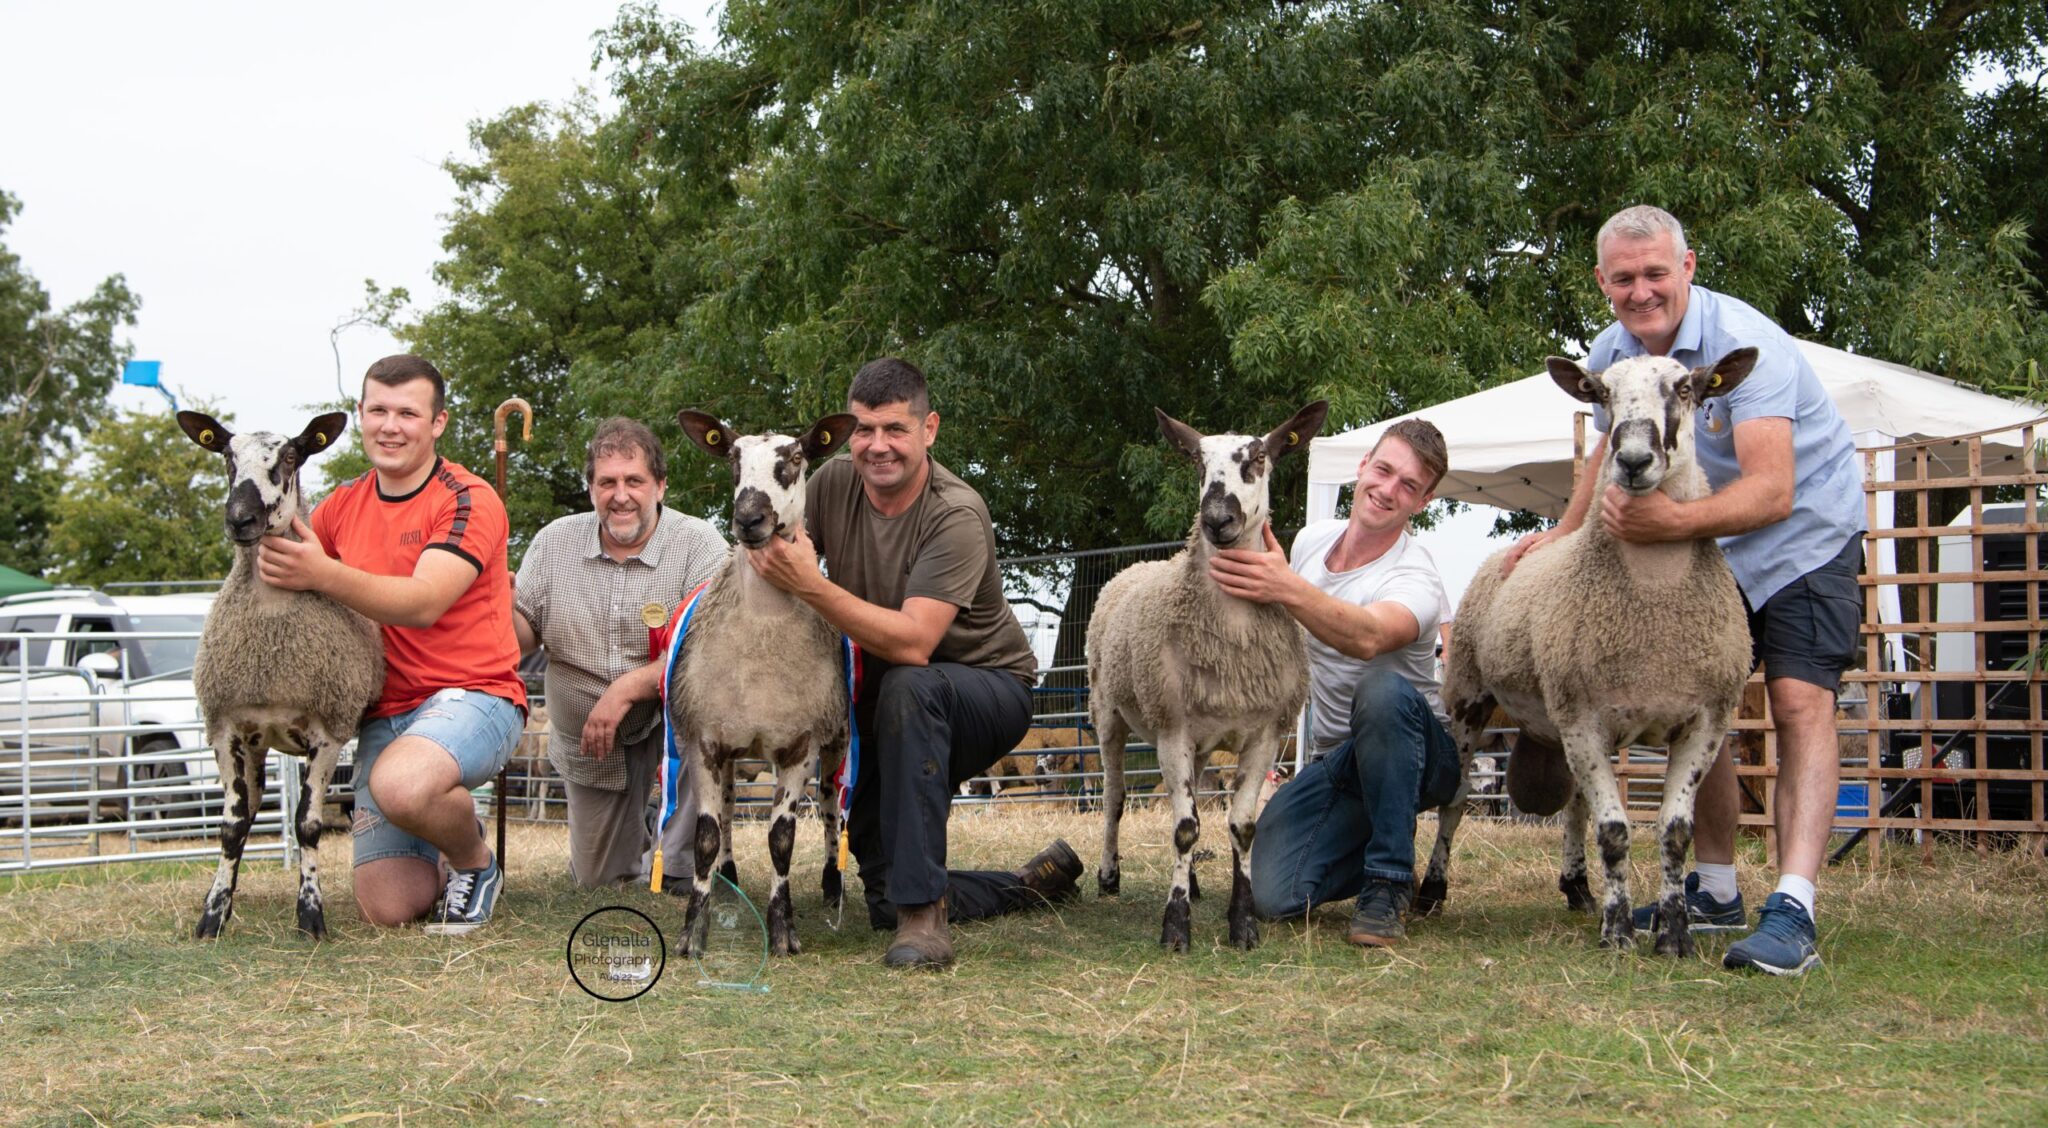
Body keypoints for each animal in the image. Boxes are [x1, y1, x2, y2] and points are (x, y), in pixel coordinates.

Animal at [177, 411, 387, 941]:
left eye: (291, 456)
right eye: (226, 455)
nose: (240, 519)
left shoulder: (329, 731)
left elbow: (307, 825)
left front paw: (311, 914)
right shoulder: (225, 729)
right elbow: (233, 826)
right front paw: (213, 915)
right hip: (257, 746)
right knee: (250, 809)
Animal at [671, 411, 856, 958]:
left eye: (795, 459)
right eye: (732, 458)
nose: (749, 519)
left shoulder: (798, 745)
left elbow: (781, 841)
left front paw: (783, 932)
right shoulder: (705, 740)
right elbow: (706, 836)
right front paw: (693, 934)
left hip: (837, 738)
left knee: (832, 807)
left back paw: (832, 884)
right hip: (732, 749)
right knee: (730, 810)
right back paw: (728, 880)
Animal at [1089, 401, 1327, 949]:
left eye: (1259, 457)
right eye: (1197, 462)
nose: (1217, 519)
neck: (1231, 638)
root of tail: (1136, 566)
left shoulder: (1265, 734)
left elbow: (1240, 827)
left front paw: (1242, 922)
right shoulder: (1171, 728)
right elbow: (1182, 827)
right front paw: (1176, 926)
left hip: (1196, 743)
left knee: (1191, 796)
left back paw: (1194, 883)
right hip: (1107, 712)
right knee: (1115, 799)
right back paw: (1109, 875)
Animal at [1433, 350, 1753, 953]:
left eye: (1686, 388)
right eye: (1602, 394)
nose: (1631, 461)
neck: (1654, 607)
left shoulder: (1704, 721)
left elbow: (1675, 833)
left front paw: (1674, 934)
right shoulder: (1582, 717)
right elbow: (1615, 831)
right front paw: (1619, 932)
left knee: (1575, 808)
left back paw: (1578, 886)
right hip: (1470, 697)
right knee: (1456, 801)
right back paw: (1430, 891)